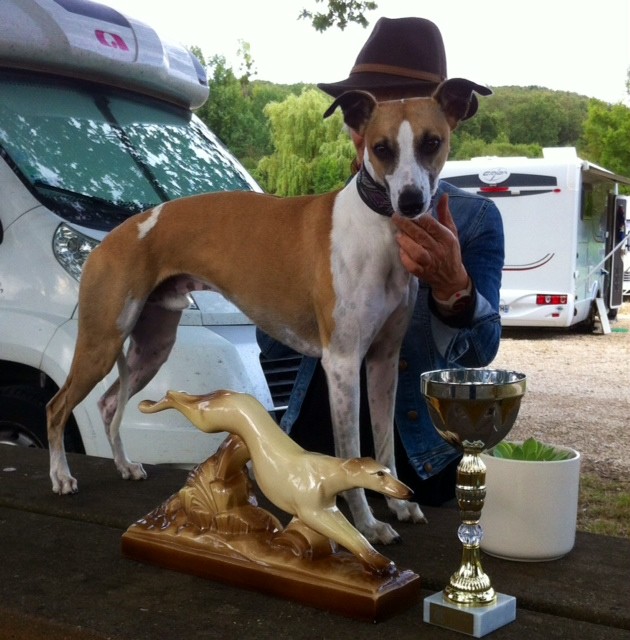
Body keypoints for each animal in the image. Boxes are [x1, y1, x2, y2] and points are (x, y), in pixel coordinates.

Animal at [48, 77, 494, 544]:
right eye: (381, 147)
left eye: (432, 142)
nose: (410, 201)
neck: (377, 231)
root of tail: (116, 236)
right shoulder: (342, 362)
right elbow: (351, 452)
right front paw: (367, 525)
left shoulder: (384, 361)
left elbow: (385, 443)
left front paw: (400, 504)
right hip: (102, 341)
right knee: (58, 406)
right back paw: (61, 477)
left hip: (150, 347)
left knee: (108, 404)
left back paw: (124, 465)